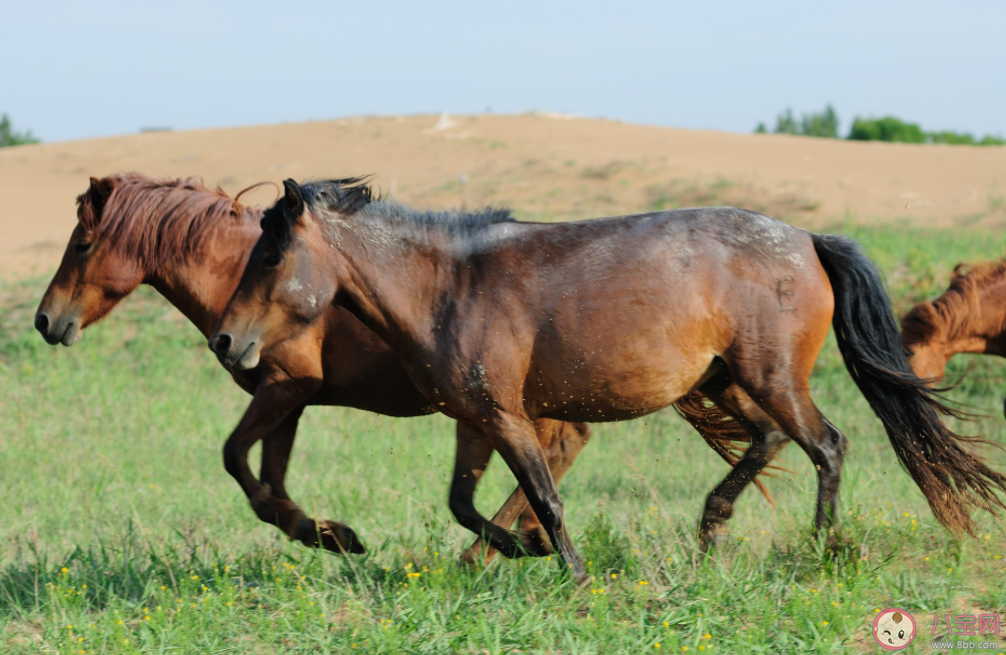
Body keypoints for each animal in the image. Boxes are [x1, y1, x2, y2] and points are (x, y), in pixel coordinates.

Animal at [29, 174, 756, 563]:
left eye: (83, 243)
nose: (44, 321)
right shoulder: (290, 398)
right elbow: (268, 476)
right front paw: (326, 533)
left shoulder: (286, 387)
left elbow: (237, 459)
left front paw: (331, 536)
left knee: (555, 453)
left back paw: (500, 549)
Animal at [214, 177, 1006, 583]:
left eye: (270, 256)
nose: (227, 340)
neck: (449, 287)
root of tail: (808, 240)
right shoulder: (476, 417)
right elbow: (464, 505)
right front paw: (524, 551)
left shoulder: (506, 417)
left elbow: (545, 496)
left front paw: (573, 574)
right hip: (725, 382)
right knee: (773, 440)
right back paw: (711, 531)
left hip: (771, 376)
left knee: (827, 445)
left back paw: (819, 549)